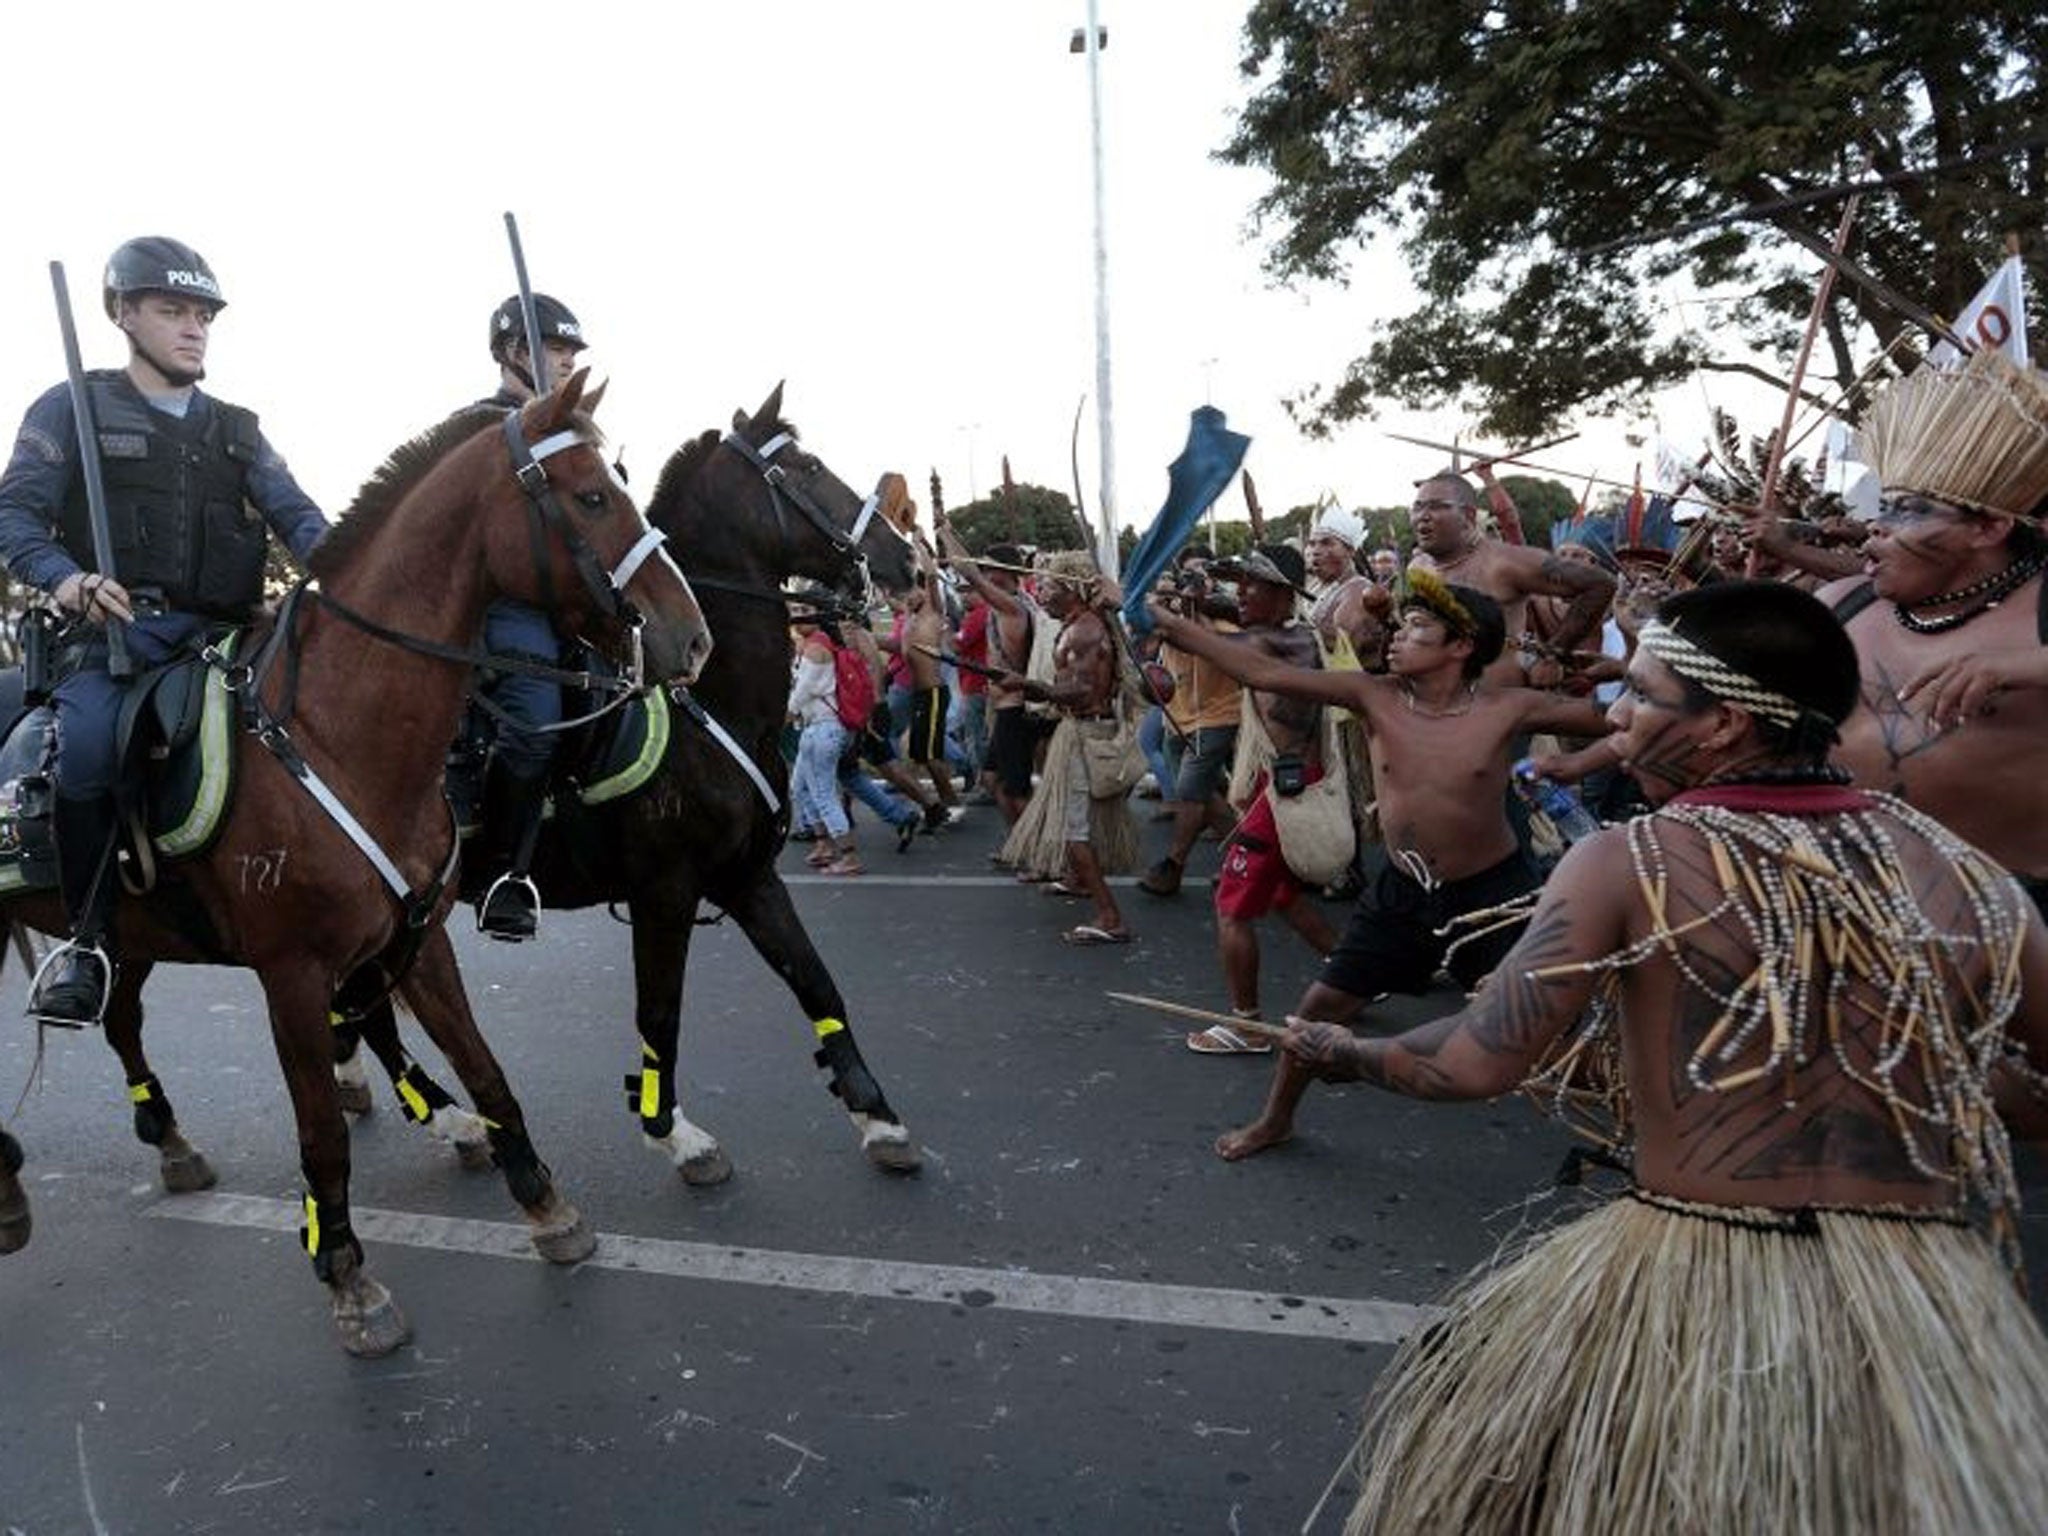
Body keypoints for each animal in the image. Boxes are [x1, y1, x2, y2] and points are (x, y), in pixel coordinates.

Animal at [4, 372, 712, 1359]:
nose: (691, 638)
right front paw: (348, 1279)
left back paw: (167, 1144)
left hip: (132, 933)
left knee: (125, 1020)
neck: (336, 735)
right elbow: (321, 1137)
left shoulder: (421, 940)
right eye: (593, 498)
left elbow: (487, 1068)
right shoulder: (293, 975)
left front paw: (547, 1207)